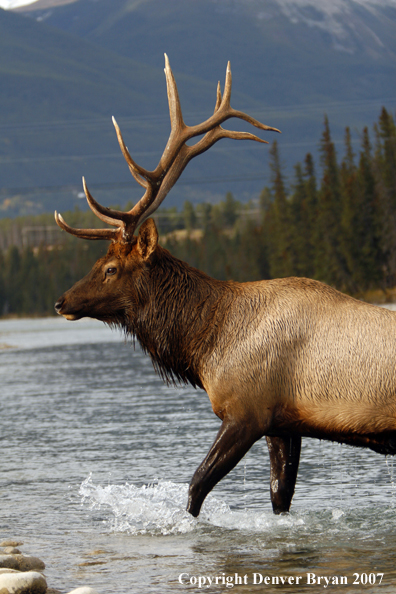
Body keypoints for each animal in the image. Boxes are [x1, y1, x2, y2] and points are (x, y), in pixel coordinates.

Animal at [54, 57, 396, 516]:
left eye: (109, 268)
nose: (61, 301)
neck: (206, 341)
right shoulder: (282, 422)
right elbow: (279, 498)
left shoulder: (245, 411)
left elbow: (196, 487)